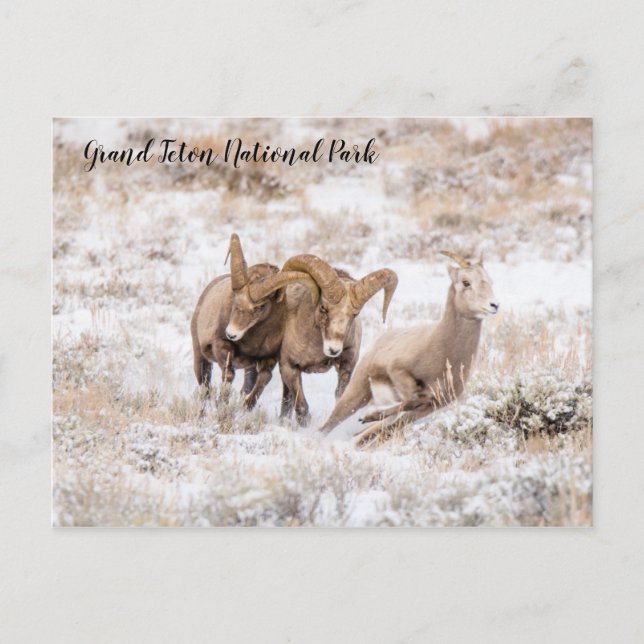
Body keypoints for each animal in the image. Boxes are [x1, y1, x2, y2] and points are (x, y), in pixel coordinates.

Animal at [190, 234, 317, 409]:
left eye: (261, 306)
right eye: (235, 299)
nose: (231, 334)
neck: (252, 341)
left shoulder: (267, 359)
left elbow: (264, 378)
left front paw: (246, 405)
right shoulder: (222, 346)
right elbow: (228, 375)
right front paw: (222, 404)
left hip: (248, 368)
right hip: (200, 357)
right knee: (204, 385)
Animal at [277, 254, 398, 426]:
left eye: (355, 313)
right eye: (323, 307)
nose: (333, 350)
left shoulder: (347, 363)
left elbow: (342, 398)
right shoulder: (289, 368)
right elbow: (301, 408)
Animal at [318, 251, 499, 447]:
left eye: (489, 280)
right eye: (466, 282)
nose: (494, 305)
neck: (443, 353)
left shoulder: (432, 406)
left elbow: (401, 414)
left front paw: (369, 419)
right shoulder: (398, 371)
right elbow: (412, 399)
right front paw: (369, 416)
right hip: (357, 393)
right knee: (327, 427)